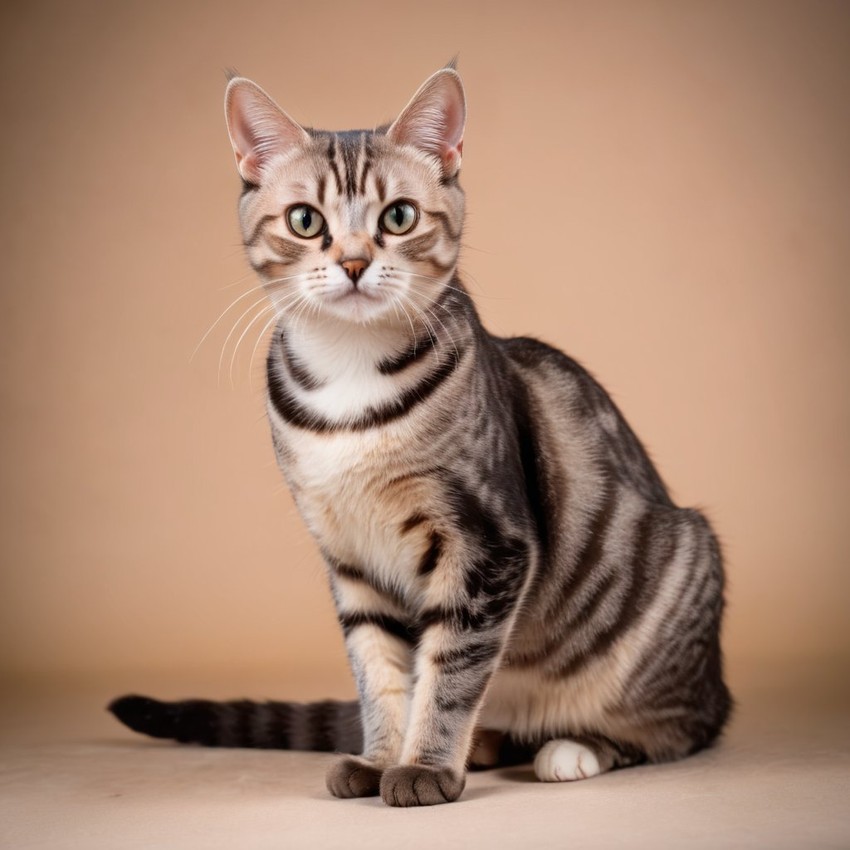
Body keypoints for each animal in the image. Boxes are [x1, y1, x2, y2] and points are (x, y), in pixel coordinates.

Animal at [107, 64, 728, 800]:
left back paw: (572, 747)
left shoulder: (486, 544)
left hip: (677, 582)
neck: (350, 380)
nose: (352, 262)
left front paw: (426, 766)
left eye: (398, 216)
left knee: (679, 731)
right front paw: (382, 758)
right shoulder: (351, 557)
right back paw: (489, 742)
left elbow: (451, 669)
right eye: (305, 221)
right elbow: (381, 669)